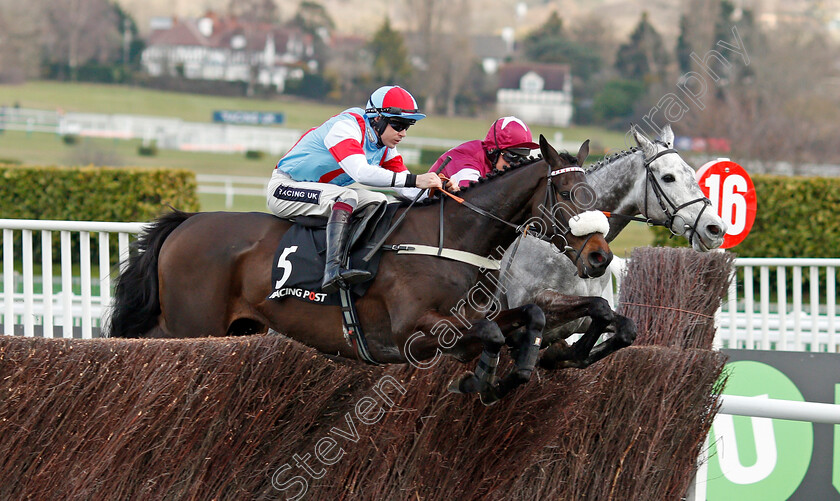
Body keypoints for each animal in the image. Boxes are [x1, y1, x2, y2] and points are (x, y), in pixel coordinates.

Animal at [108, 136, 624, 402]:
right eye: (569, 195)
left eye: (596, 195)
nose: (599, 256)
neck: (455, 238)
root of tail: (186, 221)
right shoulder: (413, 331)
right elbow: (498, 334)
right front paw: (477, 381)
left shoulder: (472, 321)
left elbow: (529, 318)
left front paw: (516, 373)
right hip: (191, 325)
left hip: (230, 328)